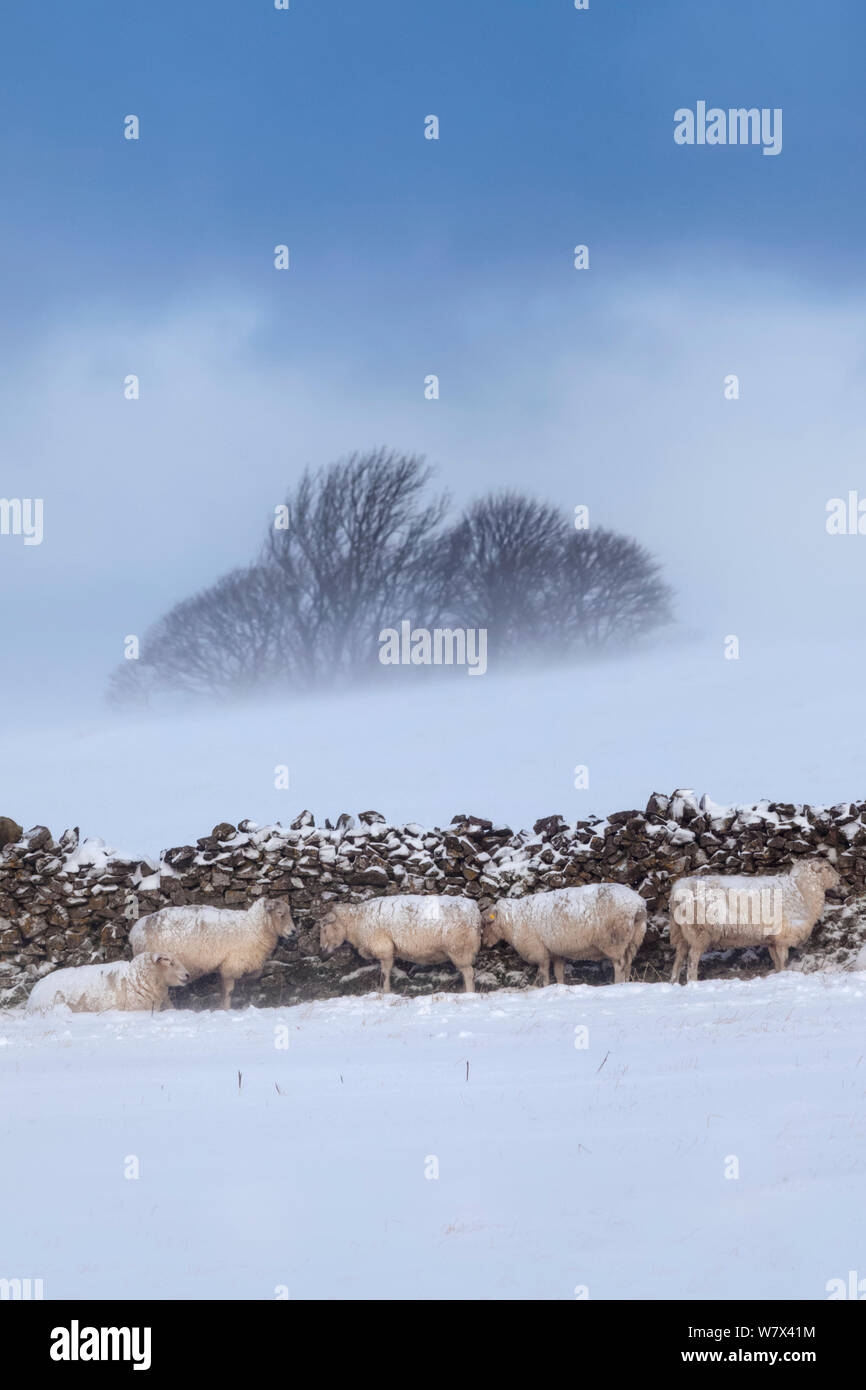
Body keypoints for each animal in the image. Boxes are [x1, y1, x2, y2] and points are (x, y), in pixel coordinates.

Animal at [128, 889, 296, 1011]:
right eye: (280, 914)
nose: (294, 931)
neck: (254, 926)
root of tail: (135, 931)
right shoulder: (232, 964)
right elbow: (229, 991)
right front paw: (226, 1008)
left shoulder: (229, 965)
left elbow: (248, 977)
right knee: (163, 993)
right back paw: (172, 1010)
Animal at [319, 895, 483, 995]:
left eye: (325, 929)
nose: (321, 953)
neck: (357, 921)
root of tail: (475, 910)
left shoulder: (384, 948)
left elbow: (385, 973)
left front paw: (386, 992)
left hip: (460, 949)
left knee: (469, 973)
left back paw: (469, 993)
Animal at [483, 884, 647, 984]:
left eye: (487, 923)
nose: (484, 943)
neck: (513, 920)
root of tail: (638, 906)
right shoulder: (556, 951)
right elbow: (558, 973)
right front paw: (560, 986)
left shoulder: (539, 951)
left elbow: (544, 973)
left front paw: (545, 986)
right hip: (633, 941)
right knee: (628, 965)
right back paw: (626, 983)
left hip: (615, 941)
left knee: (619, 966)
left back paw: (617, 984)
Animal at [667, 850, 845, 984]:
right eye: (826, 867)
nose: (840, 879)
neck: (801, 890)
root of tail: (677, 890)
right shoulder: (783, 936)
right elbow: (783, 959)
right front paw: (785, 974)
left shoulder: (772, 939)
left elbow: (776, 961)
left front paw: (778, 974)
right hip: (699, 931)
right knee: (692, 959)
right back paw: (693, 982)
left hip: (681, 932)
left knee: (679, 956)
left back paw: (674, 982)